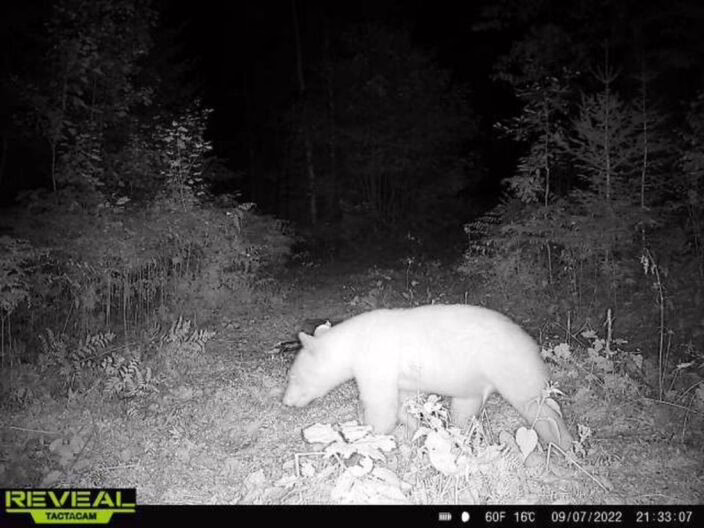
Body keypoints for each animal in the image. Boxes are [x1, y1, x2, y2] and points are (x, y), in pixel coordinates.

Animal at [282, 304, 573, 450]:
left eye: (293, 377)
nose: (286, 401)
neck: (353, 343)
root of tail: (531, 343)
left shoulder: (376, 361)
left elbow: (380, 404)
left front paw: (368, 432)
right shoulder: (401, 376)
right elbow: (405, 401)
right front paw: (413, 428)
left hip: (510, 366)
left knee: (539, 407)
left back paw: (562, 442)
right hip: (474, 381)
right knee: (465, 408)